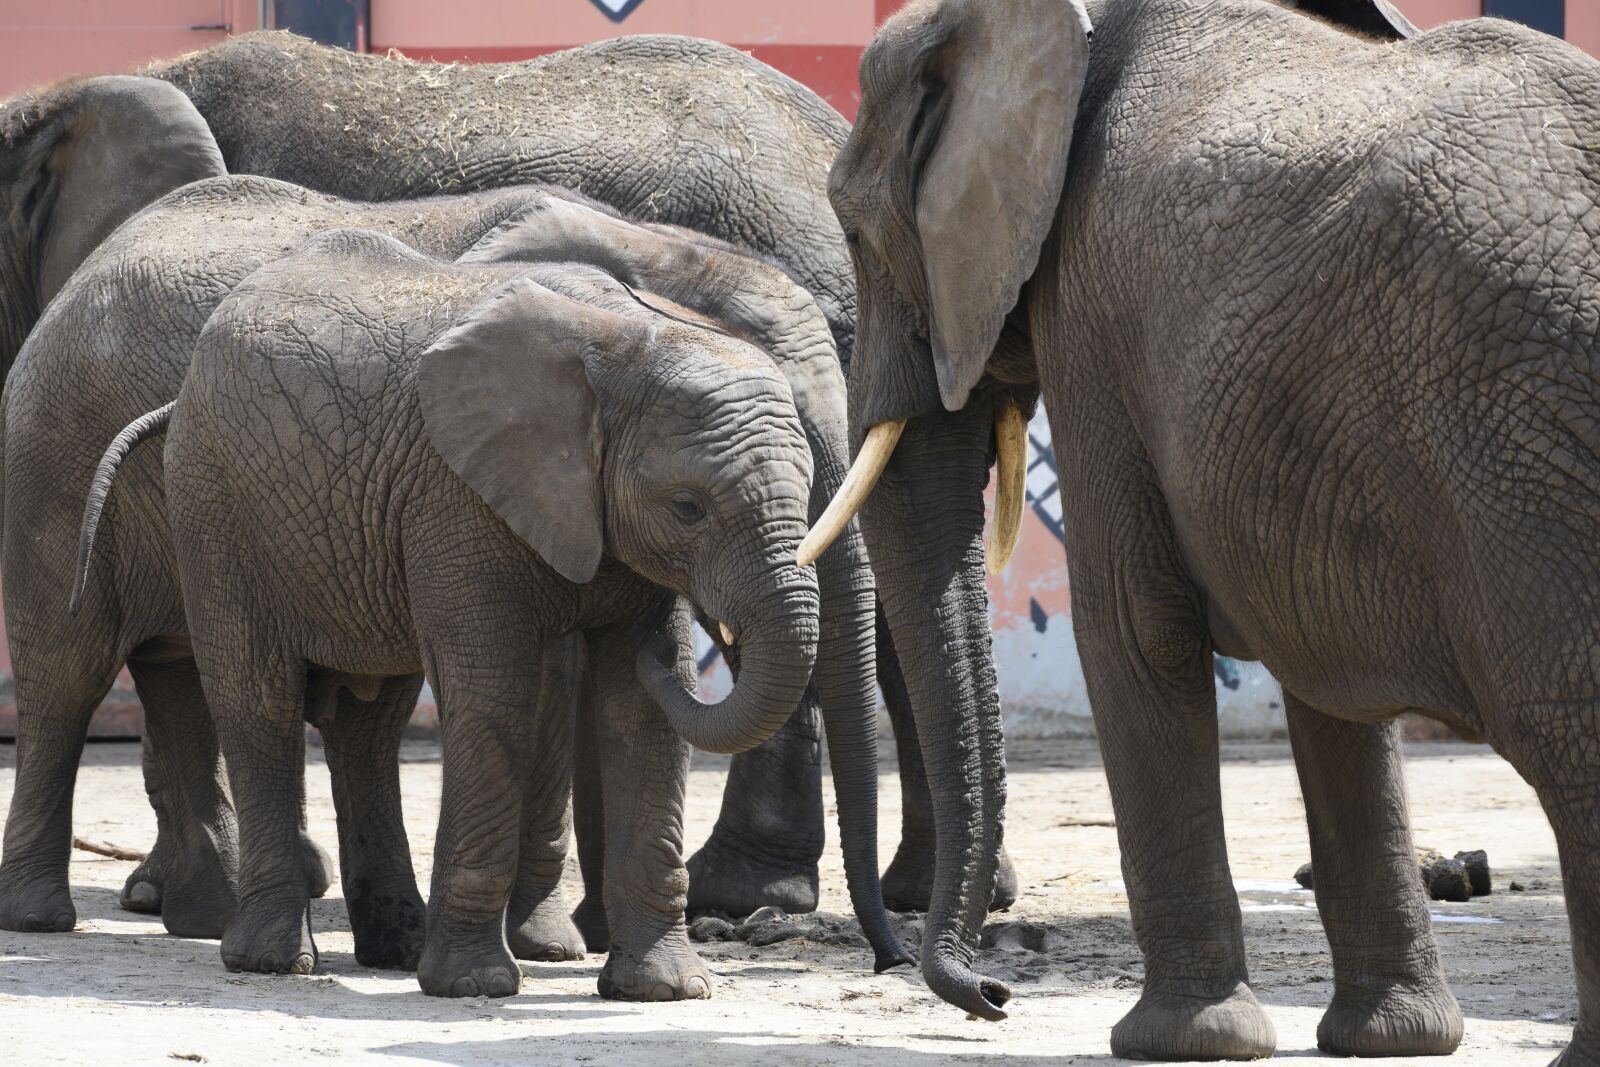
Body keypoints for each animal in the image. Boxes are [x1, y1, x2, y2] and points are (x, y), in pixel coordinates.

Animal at [76, 231, 832, 1004]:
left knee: (369, 723)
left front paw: (666, 991)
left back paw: (394, 952)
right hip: (211, 503)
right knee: (261, 698)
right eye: (688, 507)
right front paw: (475, 986)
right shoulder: (455, 495)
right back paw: (273, 962)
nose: (700, 645)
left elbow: (638, 714)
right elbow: (493, 687)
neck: (628, 343)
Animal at [806, 0, 1600, 1062]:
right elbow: (1321, 670)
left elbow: (1132, 627)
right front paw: (1392, 1038)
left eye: (854, 230)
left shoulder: (1092, 310)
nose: (995, 994)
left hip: (1513, 428)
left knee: (1564, 725)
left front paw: (1181, 1040)